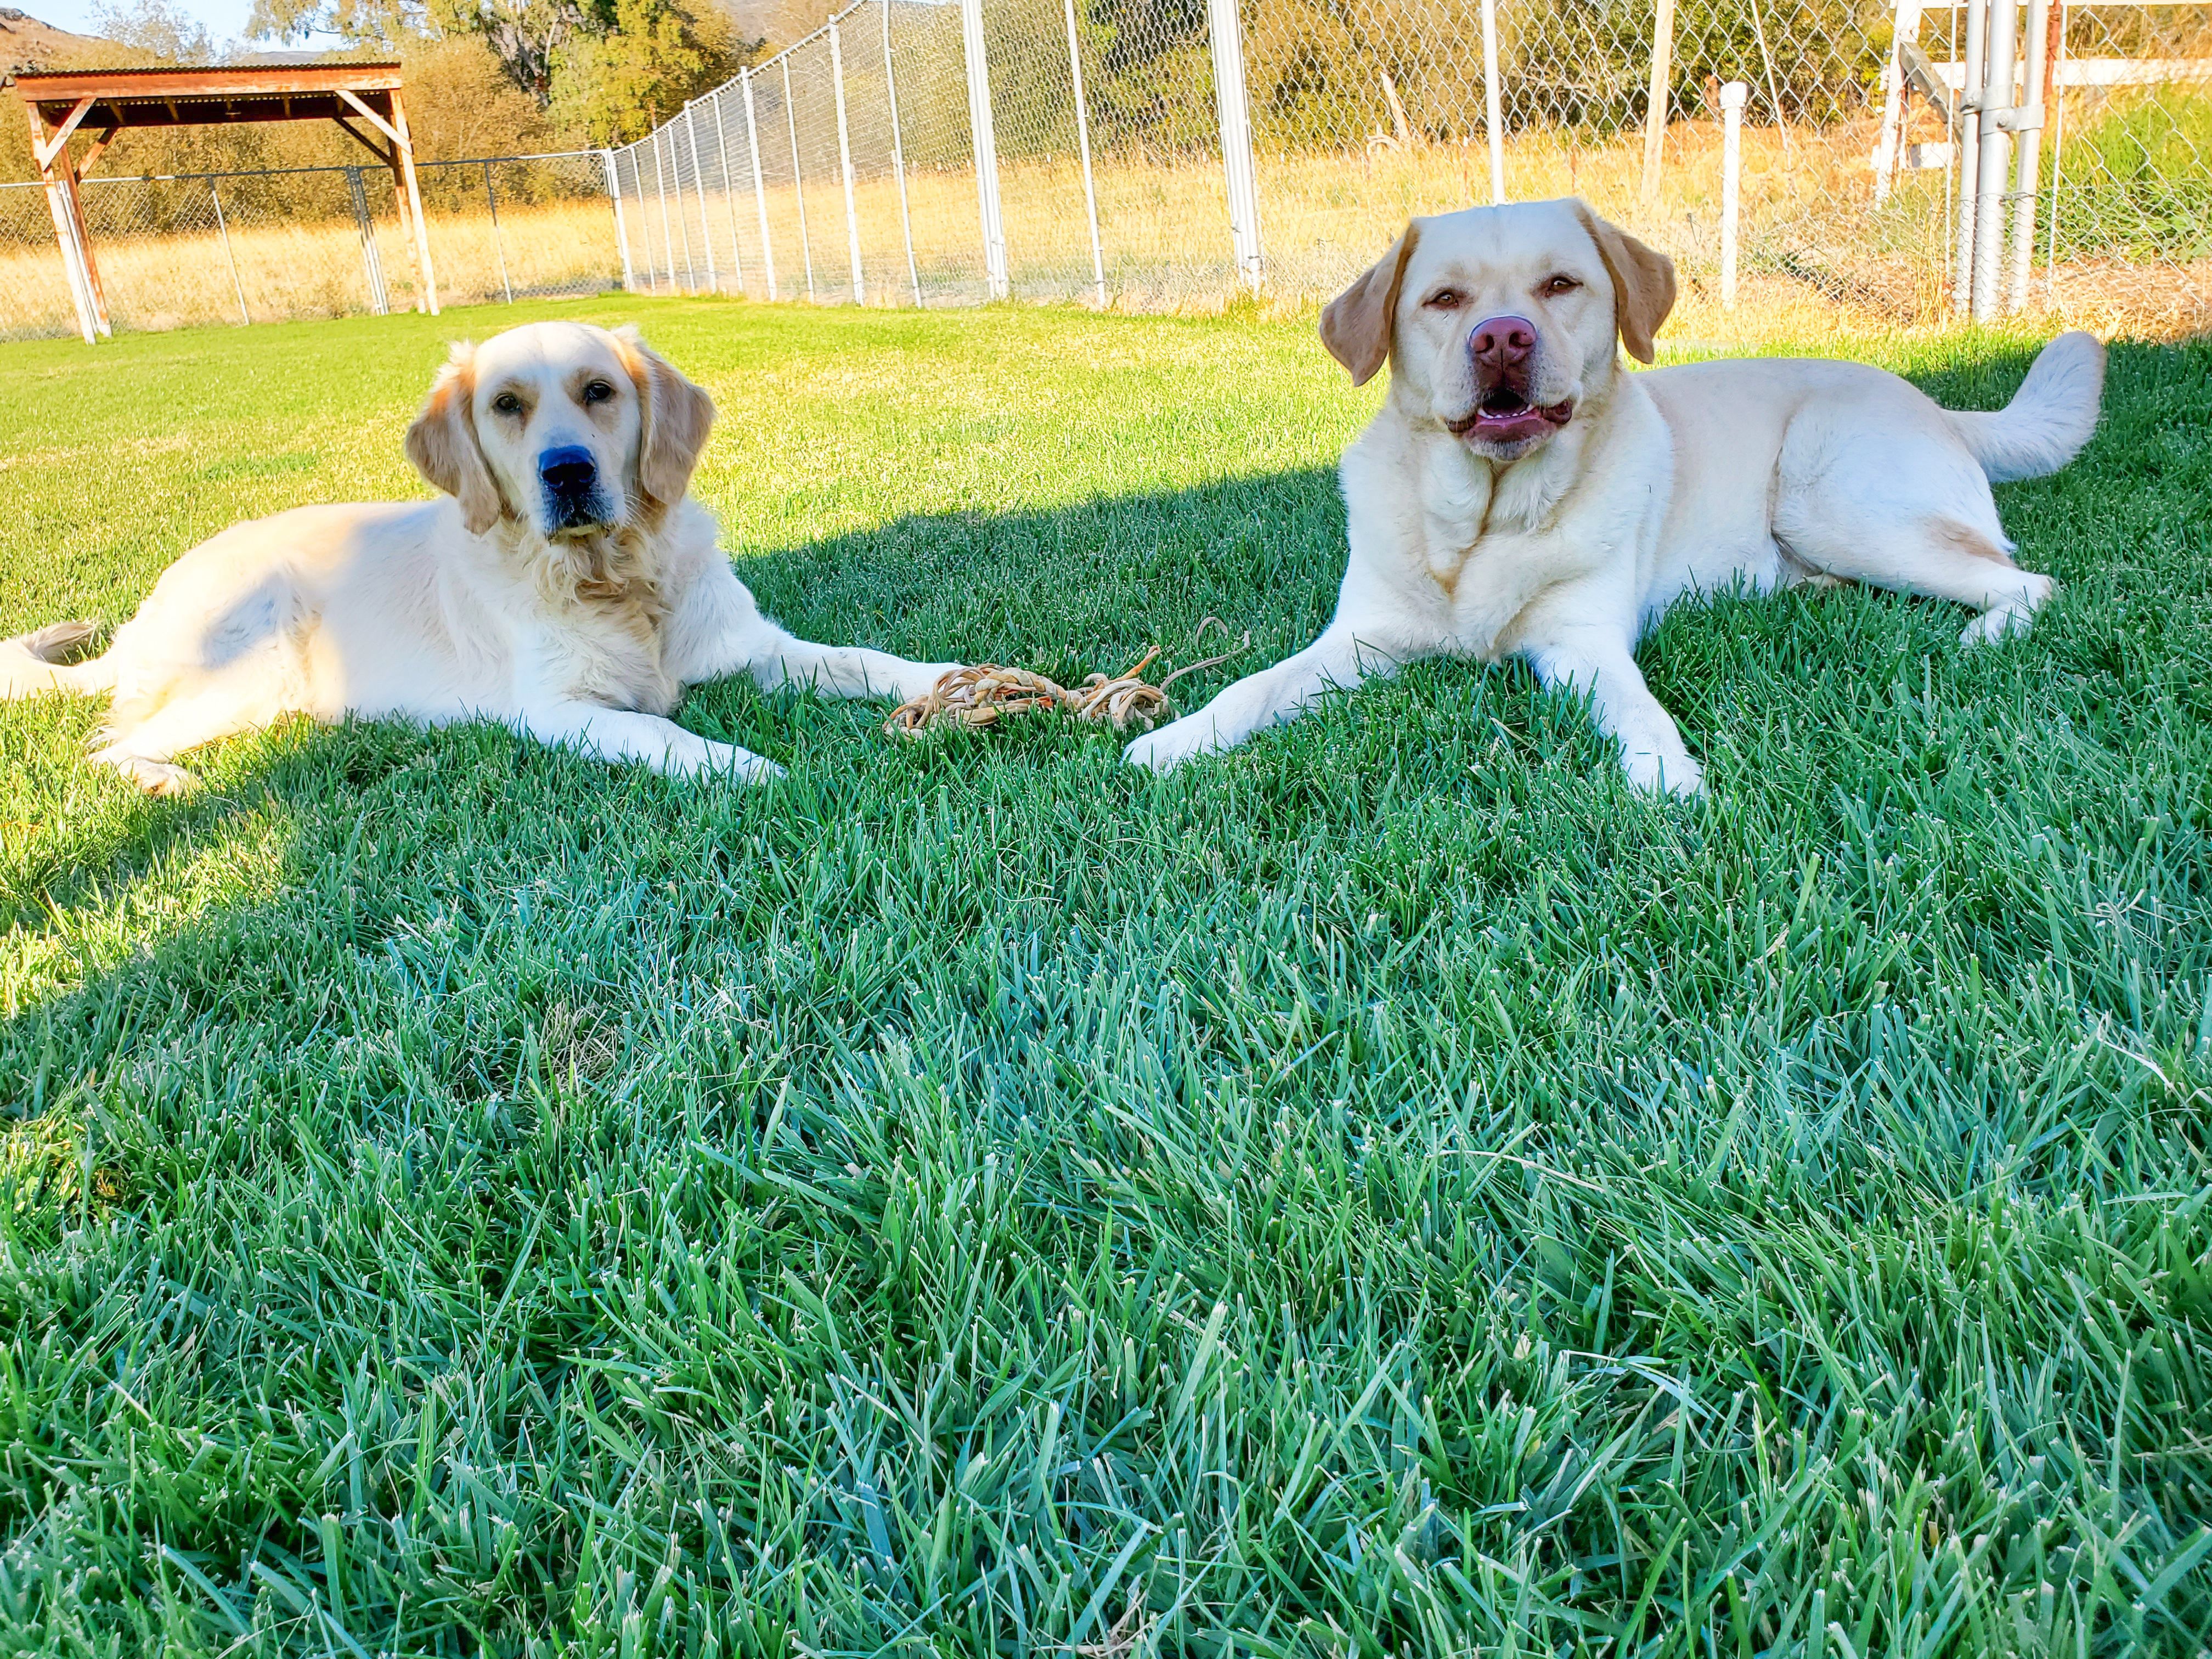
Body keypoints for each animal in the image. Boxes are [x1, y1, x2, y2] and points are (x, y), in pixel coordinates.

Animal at [2, 323, 951, 800]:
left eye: (600, 392)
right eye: (506, 406)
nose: (566, 472)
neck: (612, 578)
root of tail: (148, 611)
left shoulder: (751, 648)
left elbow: (865, 659)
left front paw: (950, 680)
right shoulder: (555, 710)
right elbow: (662, 731)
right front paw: (746, 766)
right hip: (255, 661)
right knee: (106, 749)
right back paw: (168, 781)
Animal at [1132, 198, 2097, 796]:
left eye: (1561, 284)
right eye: (1443, 300)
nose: (1502, 339)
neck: (1485, 525)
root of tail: (1939, 404)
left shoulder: (1582, 645)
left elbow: (1636, 706)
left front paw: (1667, 778)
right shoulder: (1361, 639)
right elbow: (1251, 688)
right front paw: (1175, 741)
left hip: (1832, 502)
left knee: (2029, 582)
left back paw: (1981, 638)